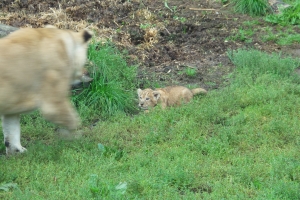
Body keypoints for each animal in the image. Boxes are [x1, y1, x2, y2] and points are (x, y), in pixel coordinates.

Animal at [0, 26, 91, 155]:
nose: (86, 73)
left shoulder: (13, 99)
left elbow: (11, 126)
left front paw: (18, 151)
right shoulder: (54, 72)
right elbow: (58, 111)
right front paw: (74, 135)